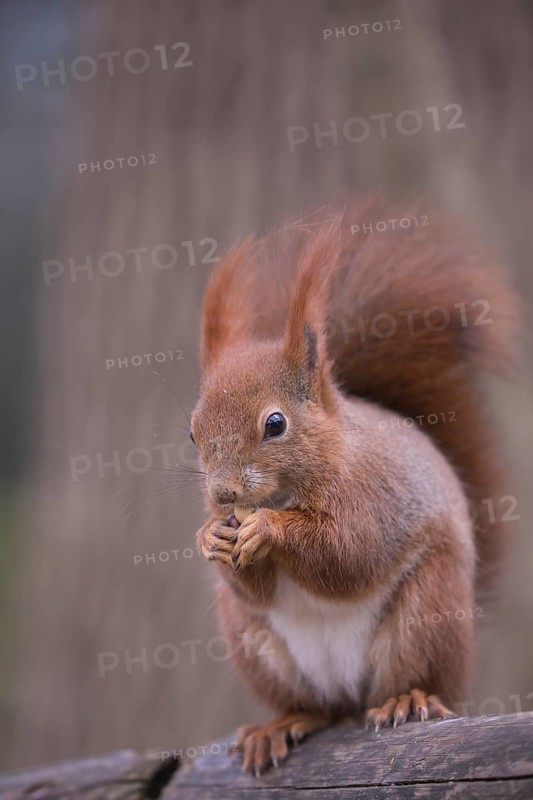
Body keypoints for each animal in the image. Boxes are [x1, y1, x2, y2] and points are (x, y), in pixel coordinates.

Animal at [190, 200, 518, 776]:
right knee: (318, 708)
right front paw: (211, 536)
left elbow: (347, 553)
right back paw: (283, 723)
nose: (225, 495)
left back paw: (406, 700)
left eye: (275, 424)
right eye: (192, 432)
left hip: (426, 613)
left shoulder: (373, 497)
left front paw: (269, 528)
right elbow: (255, 585)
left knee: (412, 681)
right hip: (257, 645)